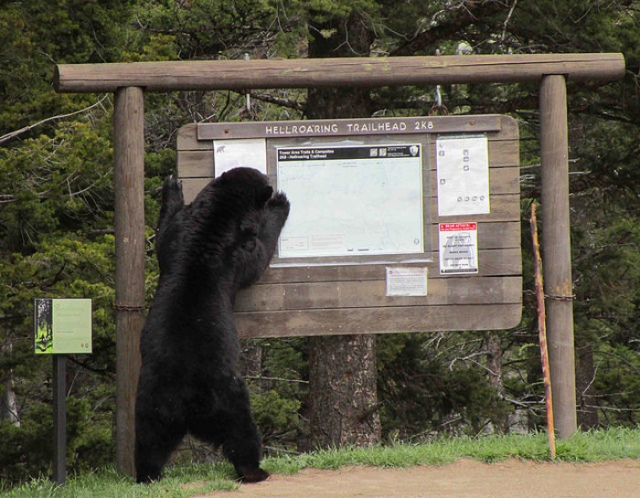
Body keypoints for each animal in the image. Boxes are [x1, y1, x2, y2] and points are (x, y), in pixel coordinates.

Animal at [139, 167, 292, 482]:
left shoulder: (178, 234)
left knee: (149, 442)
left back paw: (146, 474)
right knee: (241, 432)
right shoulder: (236, 249)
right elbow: (257, 256)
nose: (271, 183)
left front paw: (172, 187)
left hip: (152, 403)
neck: (216, 217)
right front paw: (279, 204)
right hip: (227, 396)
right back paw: (256, 470)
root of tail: (186, 405)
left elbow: (164, 234)